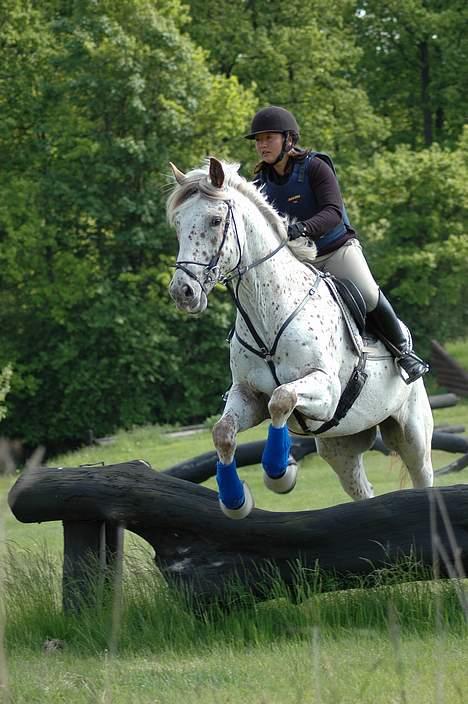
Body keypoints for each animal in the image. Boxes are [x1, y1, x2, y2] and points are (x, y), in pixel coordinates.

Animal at [166, 158, 434, 516]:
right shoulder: (248, 395)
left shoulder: (326, 391)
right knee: (362, 490)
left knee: (422, 476)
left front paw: (280, 474)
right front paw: (236, 500)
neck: (267, 312)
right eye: (178, 224)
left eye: (215, 220)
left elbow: (282, 398)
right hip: (339, 446)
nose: (183, 292)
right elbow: (224, 431)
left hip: (411, 433)